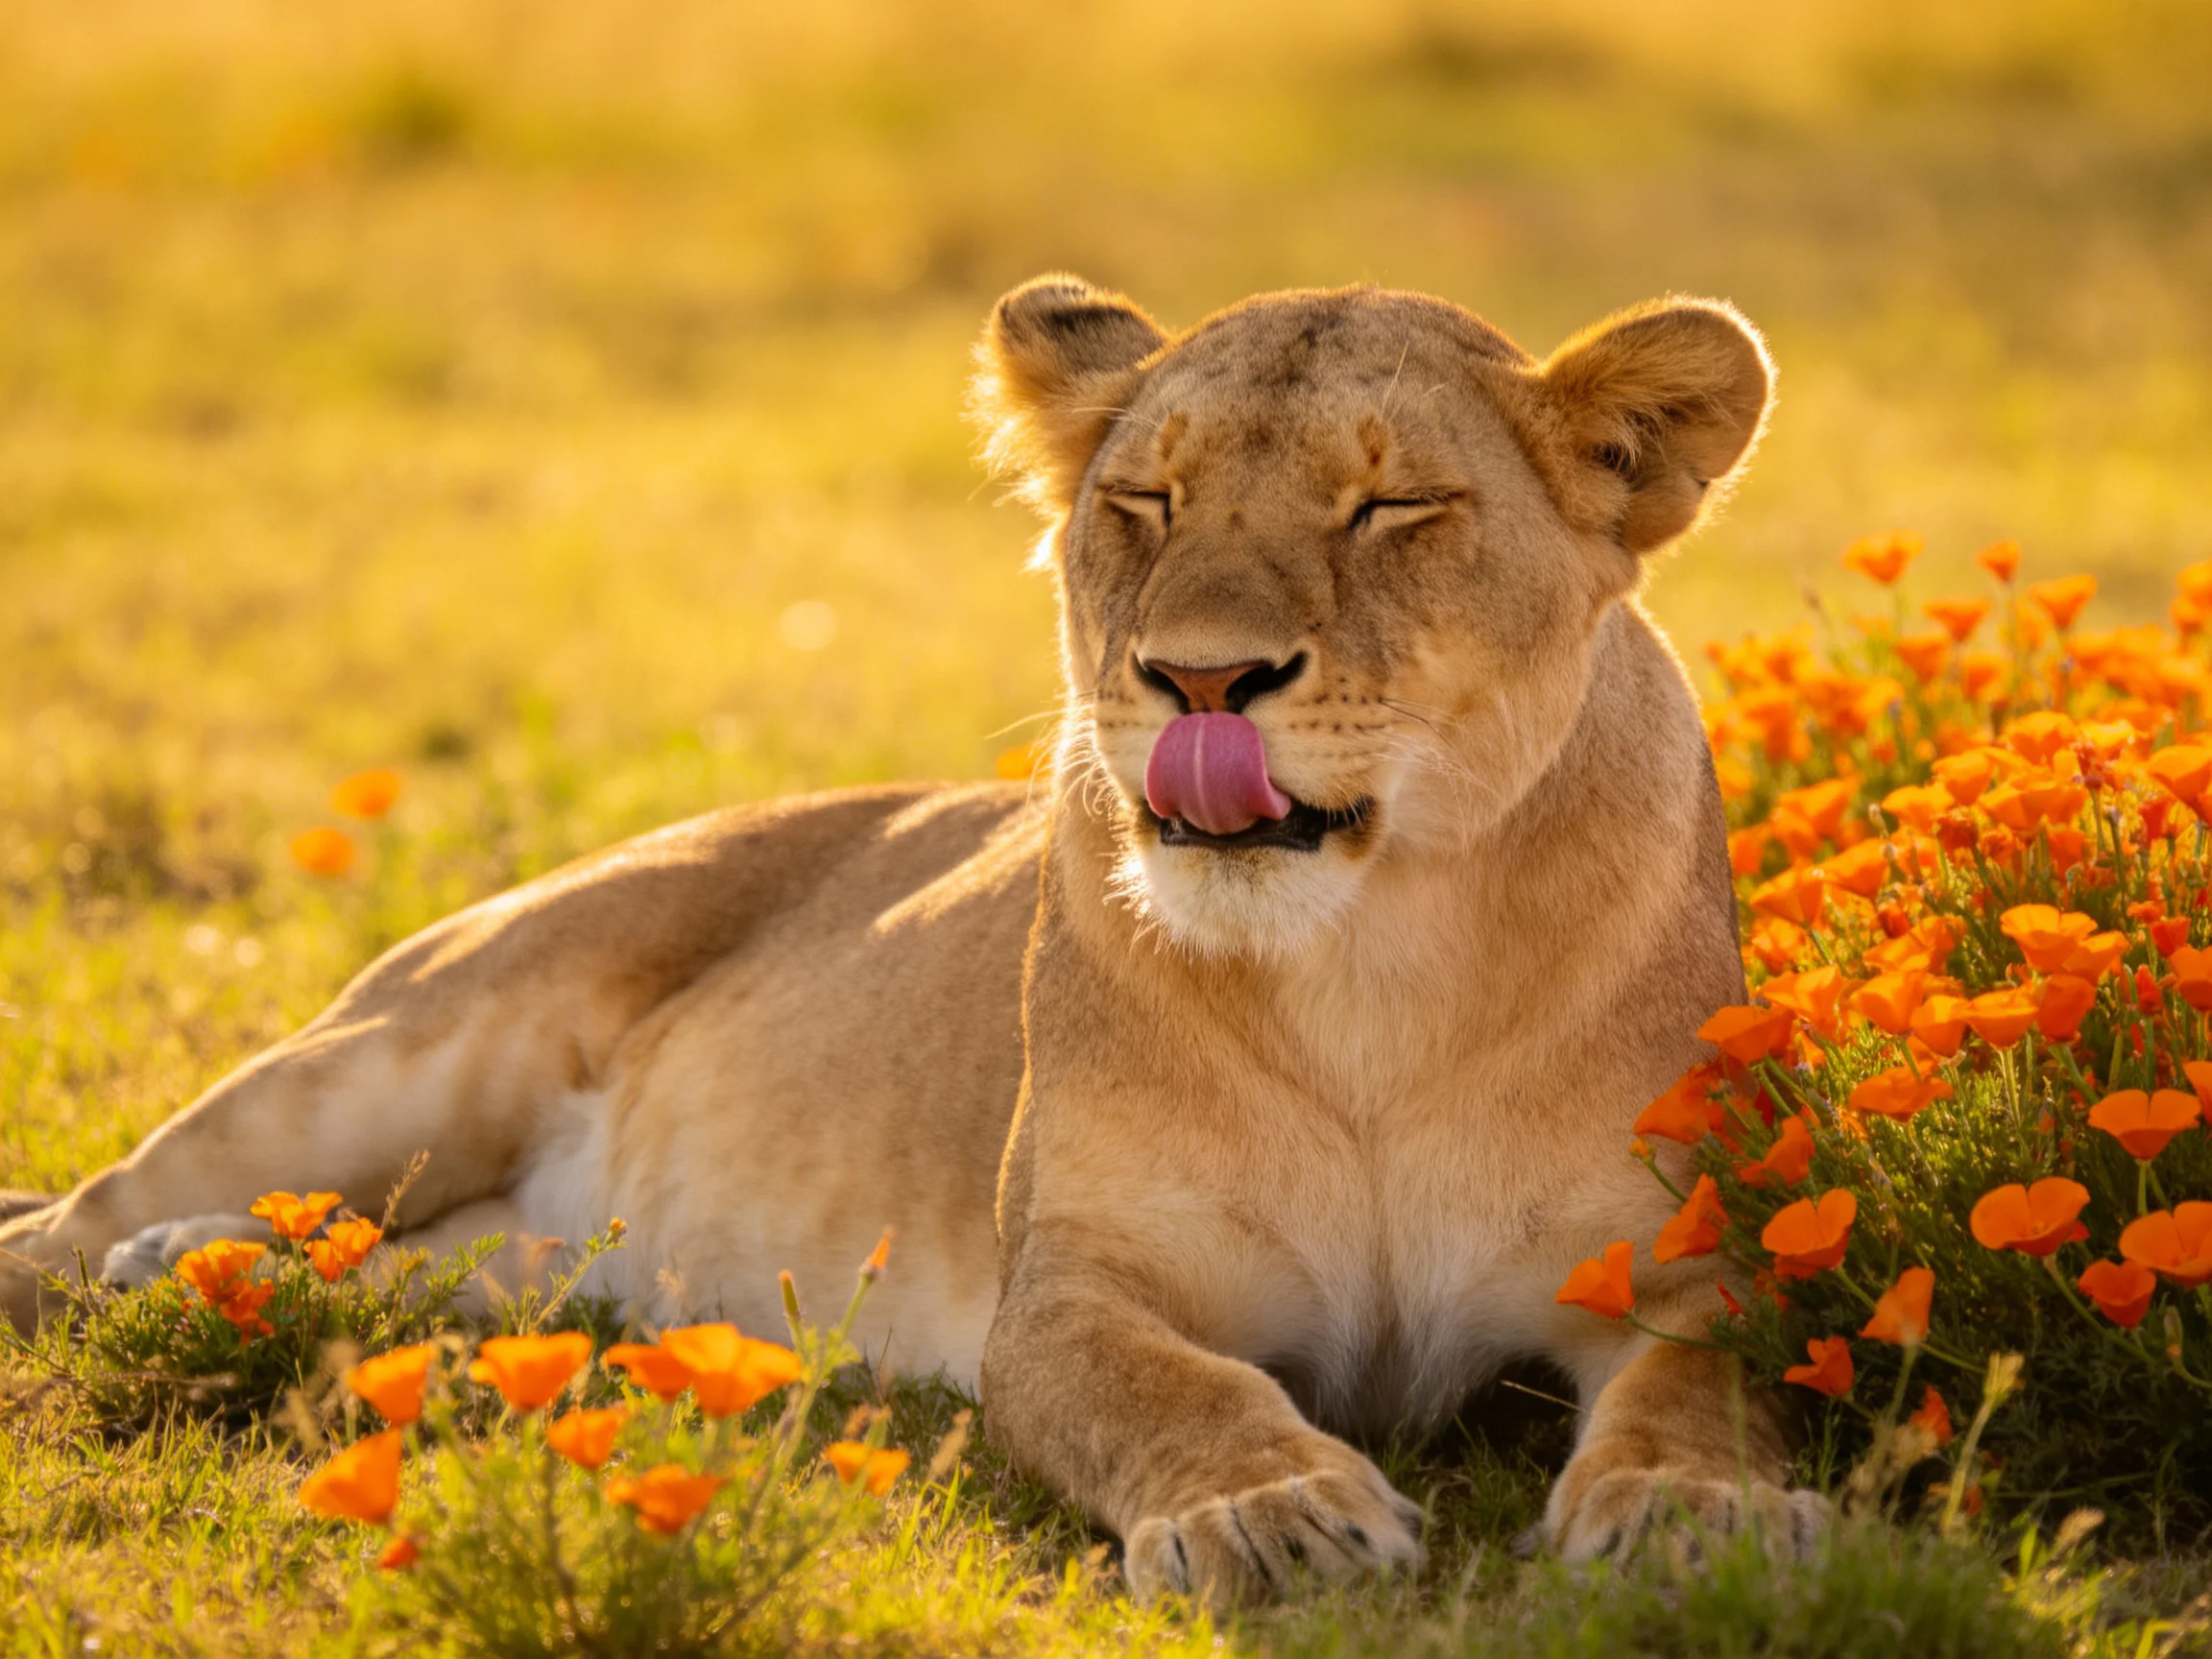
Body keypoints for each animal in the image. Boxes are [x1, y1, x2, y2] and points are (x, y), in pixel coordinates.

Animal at [0, 275, 1825, 1604]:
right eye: (1143, 500)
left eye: (1390, 507)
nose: (1199, 677)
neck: (1366, 976)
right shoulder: (1071, 1287)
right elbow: (1174, 1393)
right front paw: (1273, 1517)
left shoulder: (1681, 1252)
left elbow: (1709, 1376)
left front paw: (1692, 1512)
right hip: (404, 1057)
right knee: (75, 1220)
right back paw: (145, 1259)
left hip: (556, 1267)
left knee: (456, 1278)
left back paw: (208, 1269)